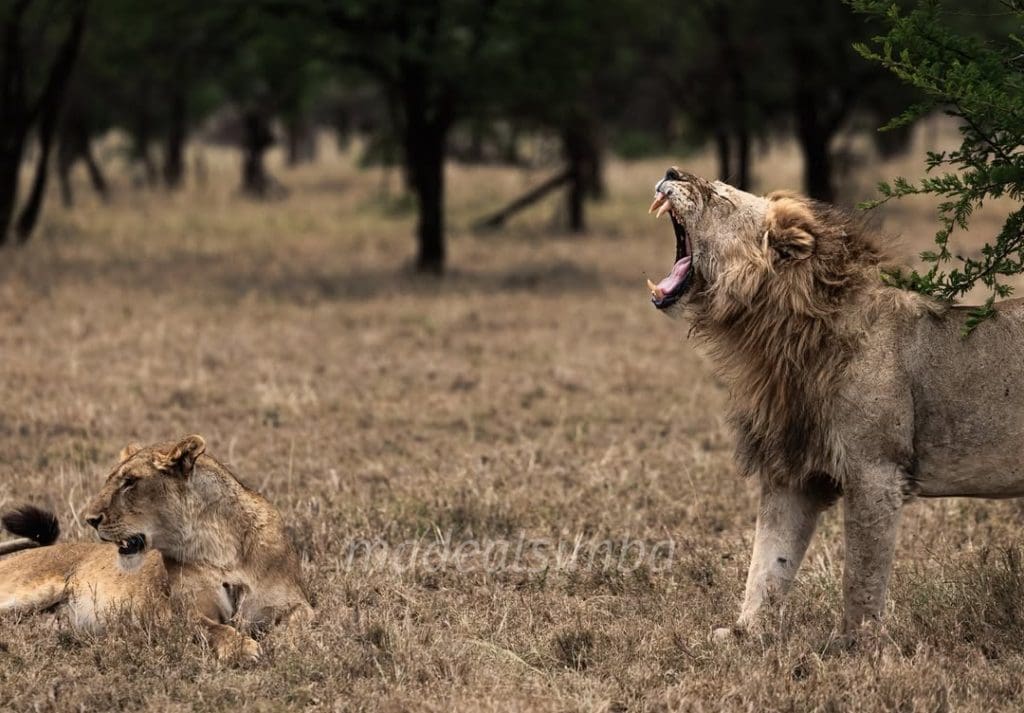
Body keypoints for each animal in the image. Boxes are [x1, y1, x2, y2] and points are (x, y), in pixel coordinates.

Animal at [0, 435, 313, 661]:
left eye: (129, 482)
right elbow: (214, 628)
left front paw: (281, 642)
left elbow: (301, 620)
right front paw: (241, 648)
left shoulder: (293, 602)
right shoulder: (177, 613)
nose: (89, 519)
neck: (219, 547)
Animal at [646, 168, 1024, 642]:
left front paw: (855, 645)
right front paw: (743, 634)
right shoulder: (790, 471)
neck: (780, 337)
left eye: (718, 195)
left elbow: (860, 574)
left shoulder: (876, 471)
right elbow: (767, 562)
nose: (671, 172)